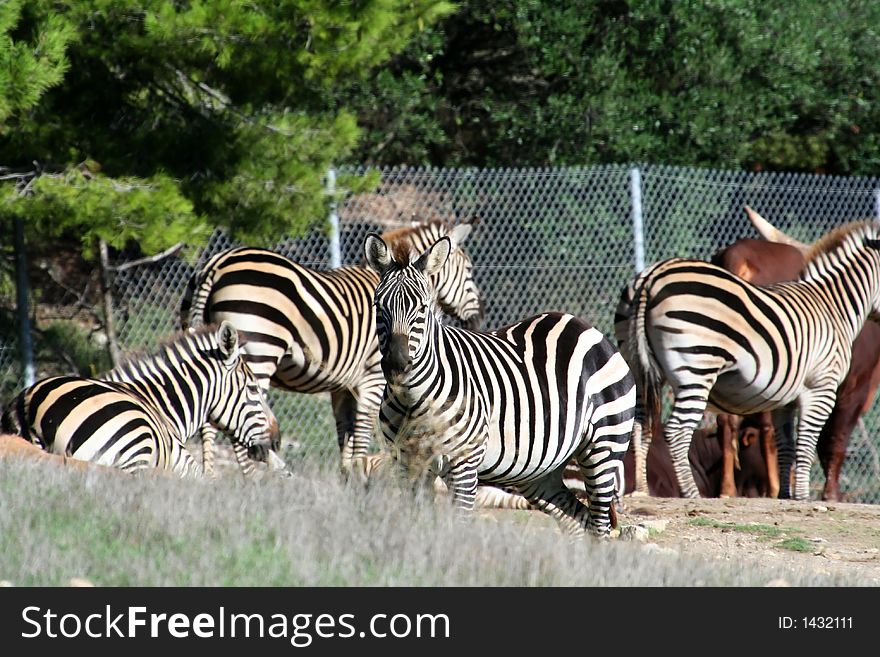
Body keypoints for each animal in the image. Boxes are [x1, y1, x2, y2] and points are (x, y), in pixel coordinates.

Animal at [1, 320, 278, 474]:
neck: (163, 406)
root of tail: (30, 406)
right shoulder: (184, 464)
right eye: (253, 389)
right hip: (136, 437)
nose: (277, 441)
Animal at [362, 233, 632, 536]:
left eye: (422, 308)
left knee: (599, 525)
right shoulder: (408, 465)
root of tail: (581, 324)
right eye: (378, 306)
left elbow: (458, 527)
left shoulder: (464, 465)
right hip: (539, 470)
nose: (397, 364)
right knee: (577, 521)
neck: (413, 400)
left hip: (604, 447)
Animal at [616, 218, 880, 500]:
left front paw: (784, 494)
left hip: (638, 368)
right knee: (676, 430)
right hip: (696, 369)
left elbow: (786, 445)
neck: (833, 306)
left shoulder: (785, 399)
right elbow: (808, 444)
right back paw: (692, 494)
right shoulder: (822, 387)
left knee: (640, 424)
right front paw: (802, 496)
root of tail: (651, 277)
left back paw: (642, 490)